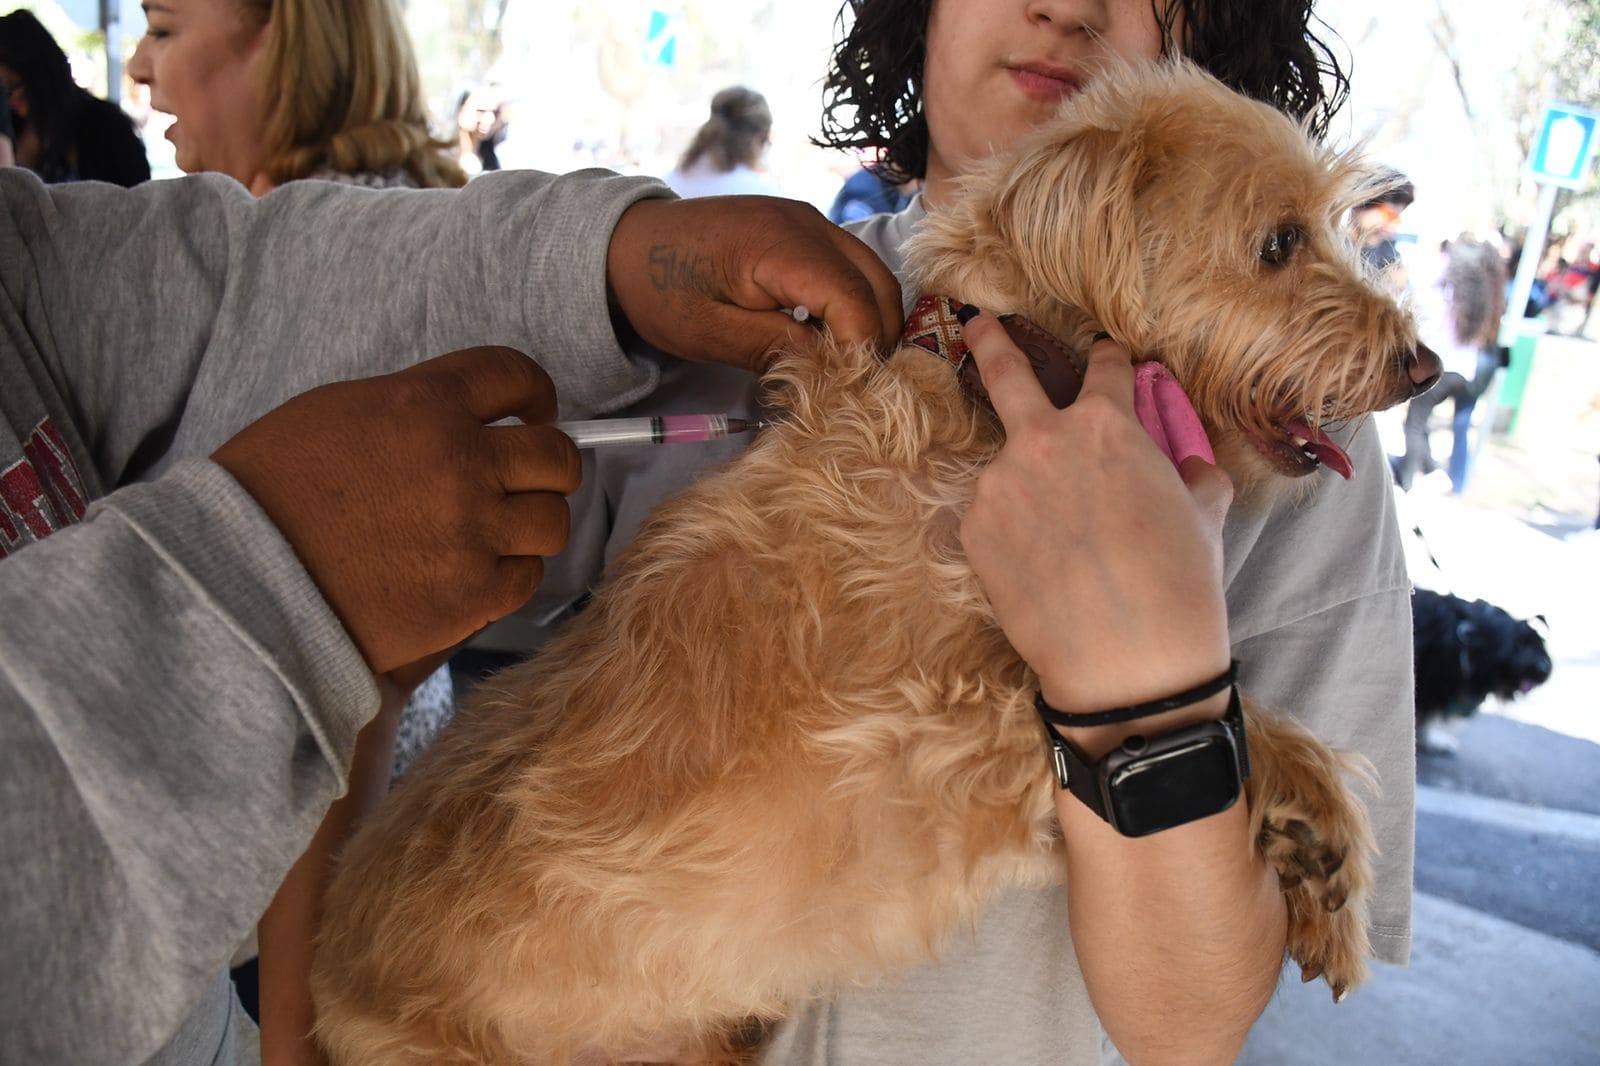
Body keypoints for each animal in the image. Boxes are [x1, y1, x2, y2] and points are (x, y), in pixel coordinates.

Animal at [312, 60, 1440, 1062]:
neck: (995, 398)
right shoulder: (911, 745)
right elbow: (1083, 731)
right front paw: (1309, 812)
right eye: (1278, 242)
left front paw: (1321, 868)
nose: (1424, 367)